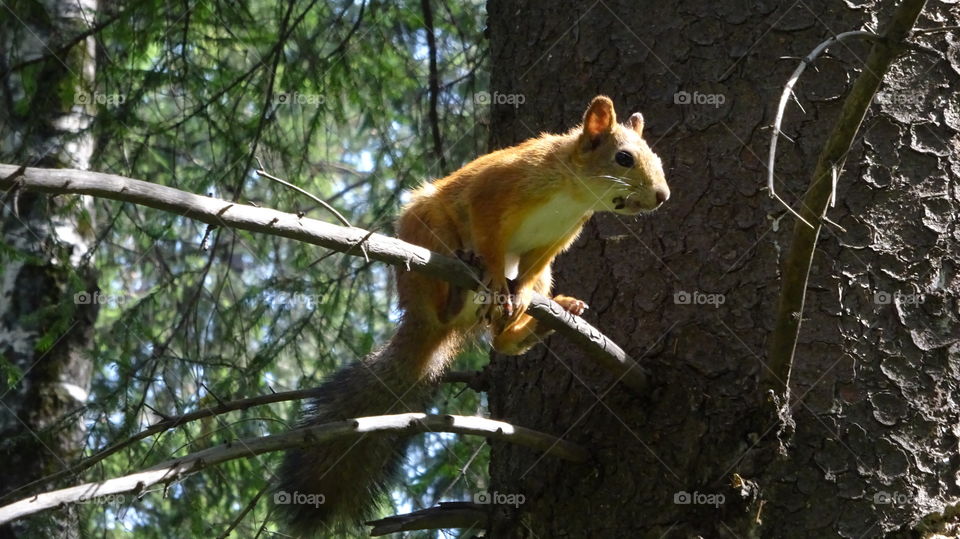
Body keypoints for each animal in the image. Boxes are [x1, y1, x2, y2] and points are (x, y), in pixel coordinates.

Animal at [276, 95, 669, 535]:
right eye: (623, 158)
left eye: (655, 156)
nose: (662, 195)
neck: (573, 192)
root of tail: (426, 325)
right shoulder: (494, 190)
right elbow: (490, 237)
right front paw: (496, 276)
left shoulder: (557, 240)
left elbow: (530, 270)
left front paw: (517, 293)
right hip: (430, 231)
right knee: (446, 286)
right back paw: (460, 286)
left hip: (539, 280)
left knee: (502, 338)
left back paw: (535, 322)